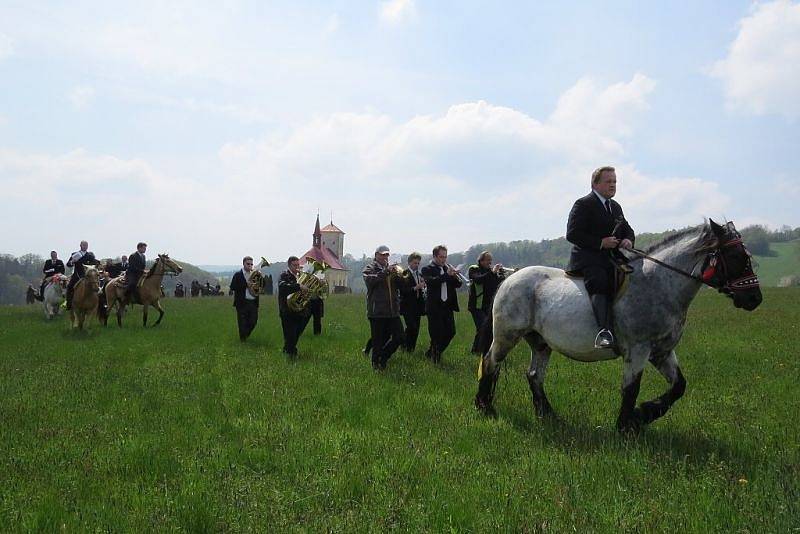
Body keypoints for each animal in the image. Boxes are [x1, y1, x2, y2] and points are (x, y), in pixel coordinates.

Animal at [476, 222, 764, 436]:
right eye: (736, 256)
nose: (754, 299)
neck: (659, 284)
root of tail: (509, 277)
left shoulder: (662, 352)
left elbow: (679, 386)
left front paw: (643, 414)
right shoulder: (638, 350)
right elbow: (631, 388)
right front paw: (626, 426)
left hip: (540, 342)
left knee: (534, 375)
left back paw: (548, 415)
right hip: (507, 336)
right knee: (490, 362)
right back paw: (485, 408)